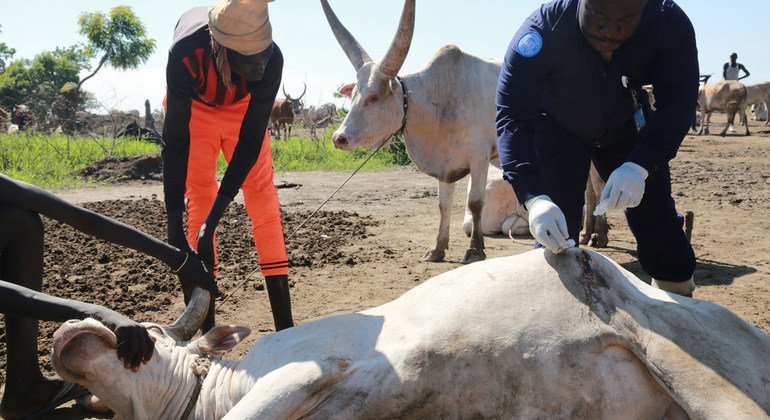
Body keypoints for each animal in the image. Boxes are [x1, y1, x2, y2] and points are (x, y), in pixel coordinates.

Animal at [318, 0, 498, 264]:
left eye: (373, 97)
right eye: (353, 95)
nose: (338, 138)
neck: (443, 97)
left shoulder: (479, 156)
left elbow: (475, 202)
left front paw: (475, 250)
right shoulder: (445, 164)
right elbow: (443, 205)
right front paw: (437, 249)